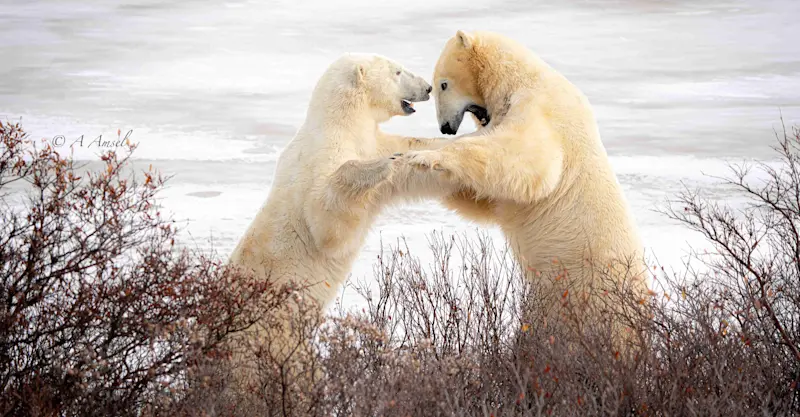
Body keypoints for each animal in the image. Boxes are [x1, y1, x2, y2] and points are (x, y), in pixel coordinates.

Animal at [402, 30, 649, 334]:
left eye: (443, 85)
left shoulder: (540, 110)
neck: (518, 77)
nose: (445, 128)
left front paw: (426, 157)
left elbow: (527, 162)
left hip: (587, 288)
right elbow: (490, 200)